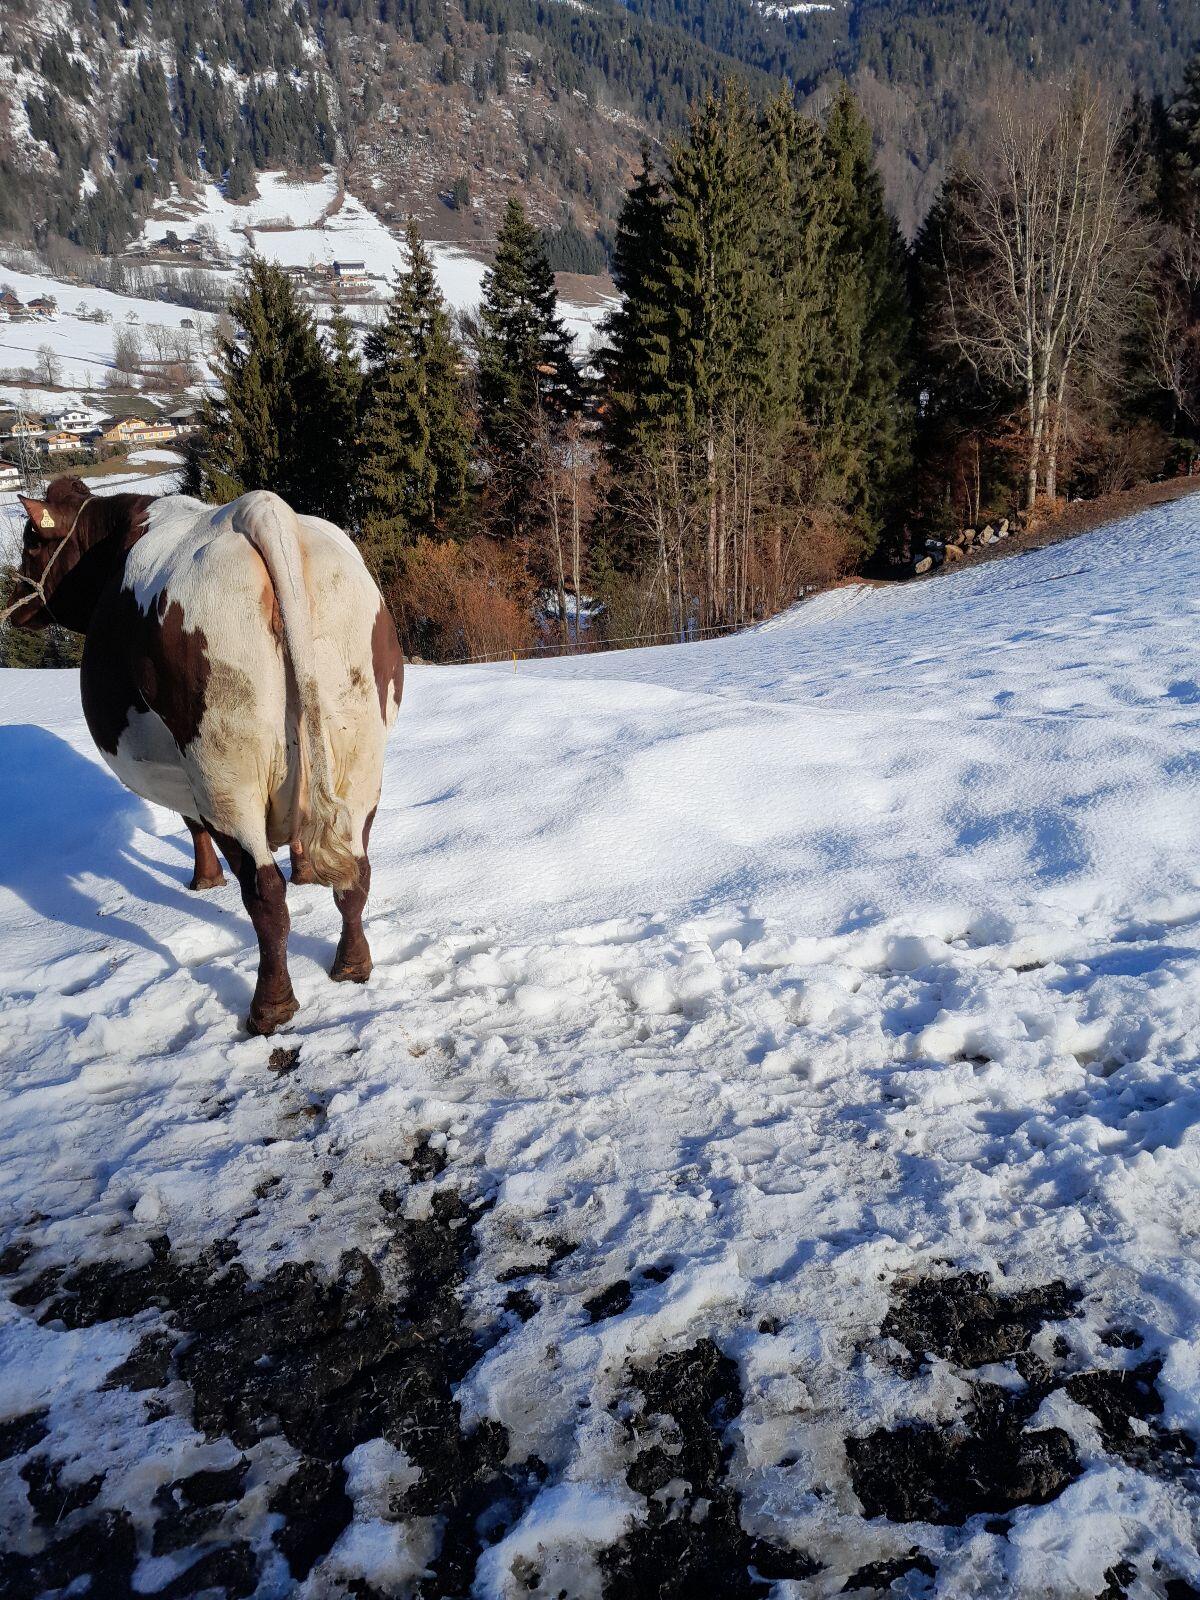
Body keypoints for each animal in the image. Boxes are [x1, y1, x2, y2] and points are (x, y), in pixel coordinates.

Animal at [6, 477, 404, 1035]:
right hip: (360, 750)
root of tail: (259, 510)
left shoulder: (178, 770)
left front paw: (204, 881)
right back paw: (352, 965)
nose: (16, 604)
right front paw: (304, 868)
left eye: (30, 541)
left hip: (223, 769)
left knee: (264, 893)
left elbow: (191, 823)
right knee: (356, 870)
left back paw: (269, 1008)